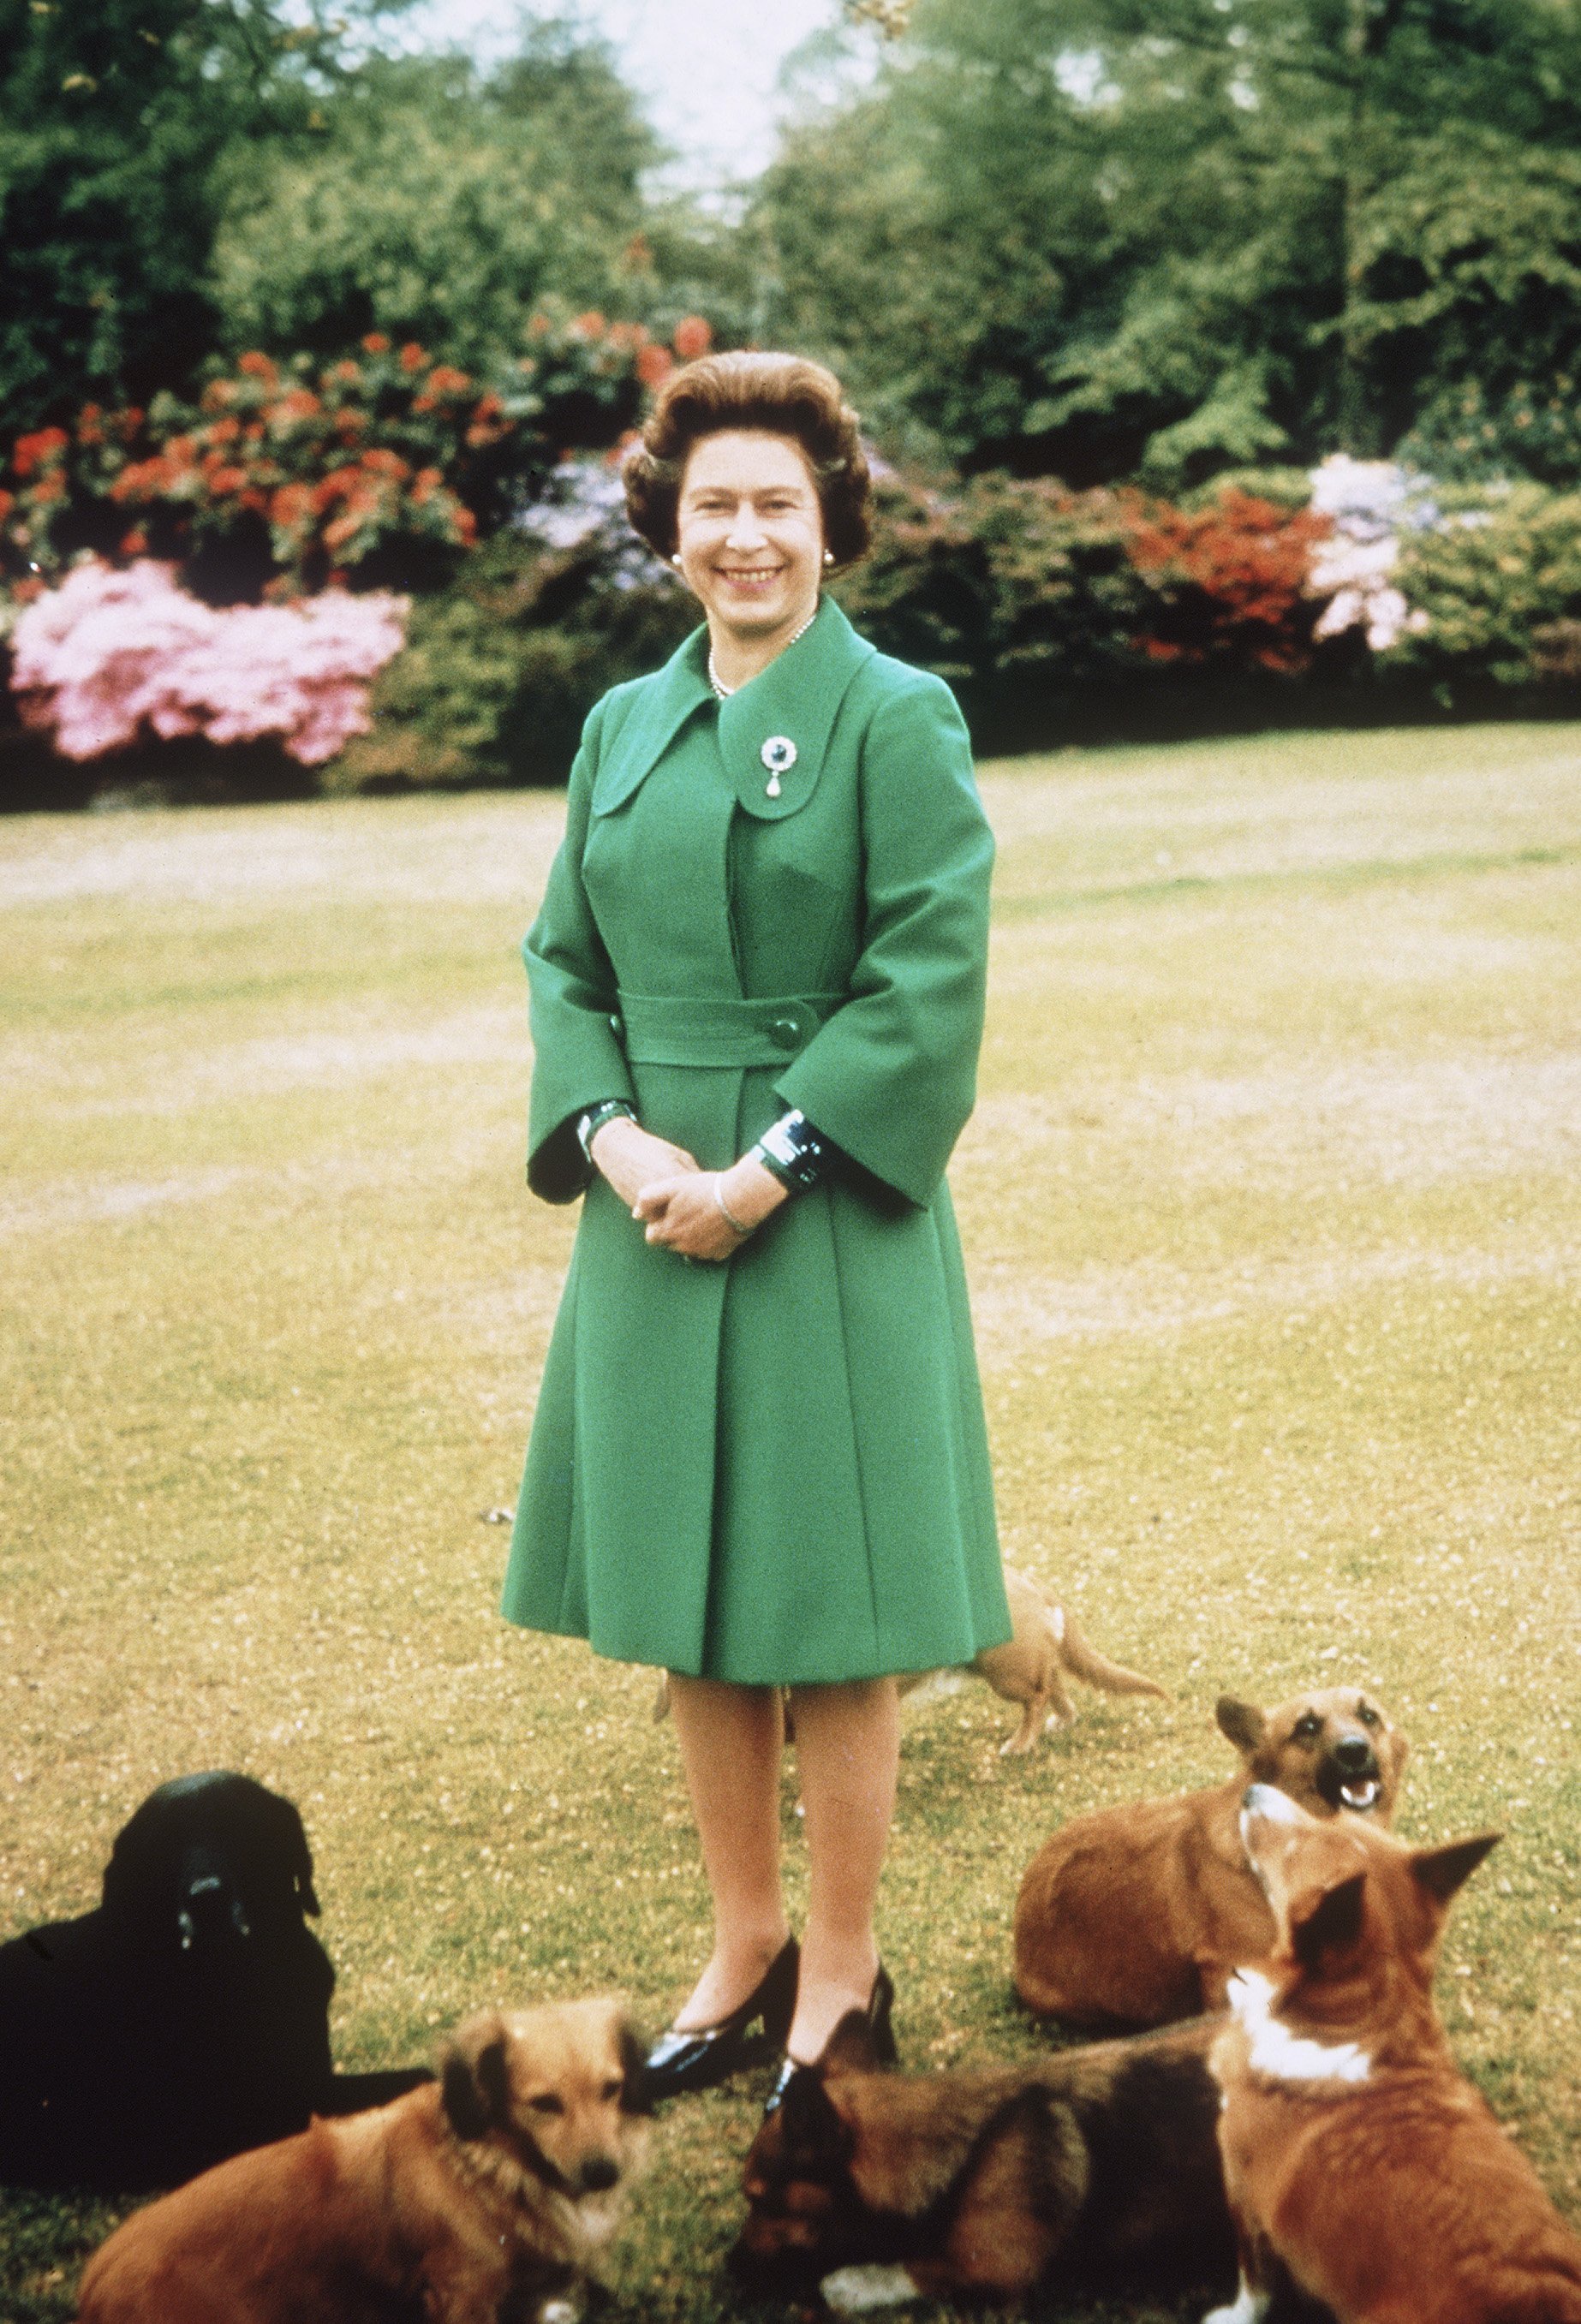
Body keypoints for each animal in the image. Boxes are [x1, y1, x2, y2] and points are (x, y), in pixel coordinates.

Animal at [1199, 1785, 1572, 2315]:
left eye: (1292, 1850)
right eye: (1332, 1817)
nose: (1252, 1791)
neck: (1358, 2021)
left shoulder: (1243, 2197)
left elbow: (1253, 2284)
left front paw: (1231, 2315)